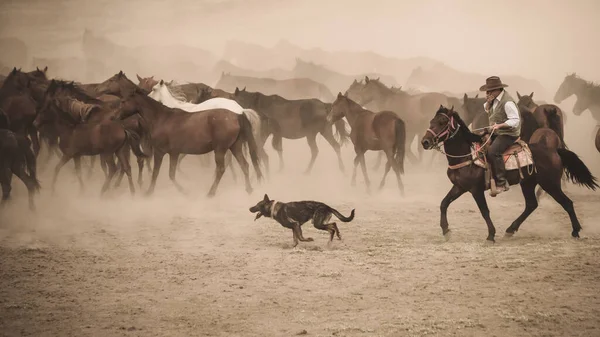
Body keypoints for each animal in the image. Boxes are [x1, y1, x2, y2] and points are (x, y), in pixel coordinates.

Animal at [116, 88, 262, 197]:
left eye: (123, 101)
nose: (114, 117)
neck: (163, 118)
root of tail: (238, 114)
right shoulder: (173, 153)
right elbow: (170, 173)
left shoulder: (162, 152)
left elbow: (160, 173)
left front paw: (150, 192)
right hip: (234, 146)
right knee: (245, 165)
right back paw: (249, 189)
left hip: (220, 149)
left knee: (221, 169)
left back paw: (211, 193)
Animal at [420, 105, 596, 242]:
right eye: (431, 121)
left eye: (442, 122)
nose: (425, 142)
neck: (467, 155)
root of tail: (555, 151)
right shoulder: (460, 187)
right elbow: (444, 203)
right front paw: (446, 231)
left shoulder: (476, 190)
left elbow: (484, 211)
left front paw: (491, 235)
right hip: (528, 183)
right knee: (531, 205)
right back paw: (510, 230)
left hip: (550, 184)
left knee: (567, 203)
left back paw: (575, 231)